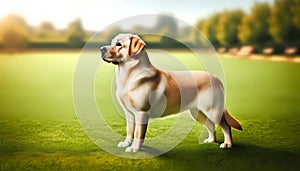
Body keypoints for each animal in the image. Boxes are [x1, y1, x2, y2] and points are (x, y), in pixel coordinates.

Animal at [99, 33, 243, 152]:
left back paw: (227, 144)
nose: (101, 49)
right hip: (198, 113)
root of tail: (216, 78)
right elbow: (129, 130)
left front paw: (134, 148)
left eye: (118, 44)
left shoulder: (141, 113)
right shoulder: (129, 113)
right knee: (211, 125)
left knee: (226, 126)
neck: (128, 76)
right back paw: (210, 140)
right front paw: (126, 143)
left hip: (212, 110)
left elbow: (138, 133)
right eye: (112, 42)